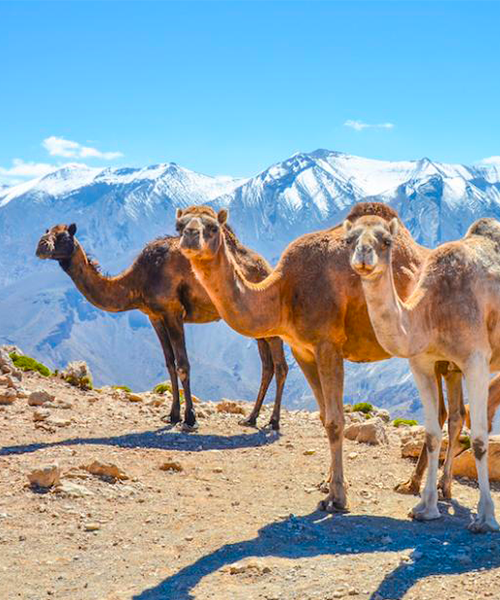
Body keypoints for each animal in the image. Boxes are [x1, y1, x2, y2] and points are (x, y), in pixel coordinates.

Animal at [35, 223, 290, 428]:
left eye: (63, 236)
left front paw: (190, 419)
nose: (40, 246)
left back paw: (273, 422)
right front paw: (172, 415)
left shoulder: (172, 312)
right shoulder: (155, 316)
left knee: (280, 365)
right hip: (255, 324)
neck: (138, 280)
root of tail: (267, 268)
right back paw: (251, 418)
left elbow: (183, 365)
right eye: (46, 231)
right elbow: (169, 363)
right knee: (267, 366)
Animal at [174, 202, 478, 510]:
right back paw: (420, 484)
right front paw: (327, 482)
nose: (189, 236)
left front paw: (338, 496)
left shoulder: (328, 345)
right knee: (449, 413)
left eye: (213, 227)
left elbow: (335, 421)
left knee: (450, 413)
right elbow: (323, 416)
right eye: (179, 225)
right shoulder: (302, 350)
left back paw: (436, 487)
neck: (284, 292)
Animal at [346, 213, 500, 532]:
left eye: (386, 240)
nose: (363, 255)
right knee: (455, 417)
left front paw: (486, 518)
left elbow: (480, 440)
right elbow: (431, 435)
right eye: (349, 239)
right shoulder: (424, 364)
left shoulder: (476, 360)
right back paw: (445, 487)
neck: (432, 311)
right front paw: (426, 507)